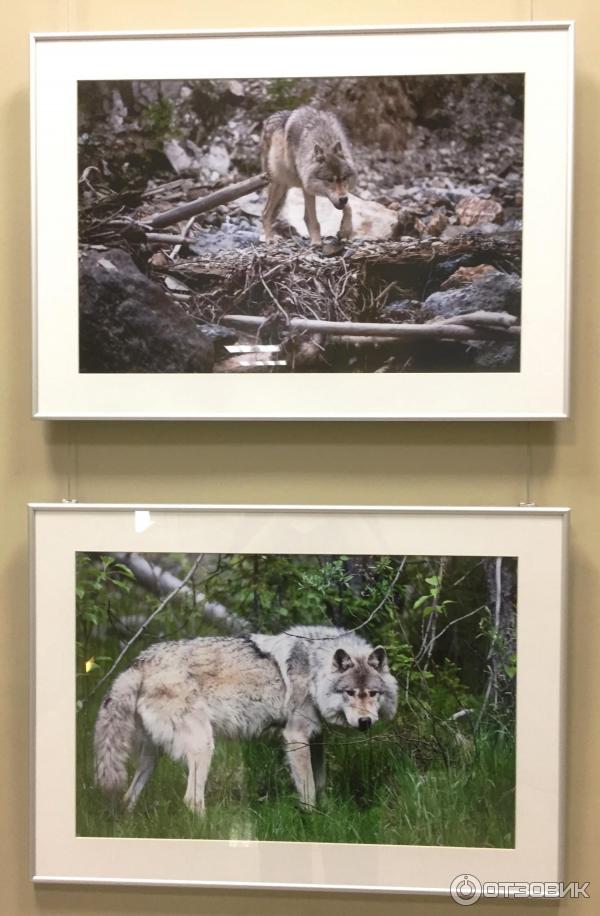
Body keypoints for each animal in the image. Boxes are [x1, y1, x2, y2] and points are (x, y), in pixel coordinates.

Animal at [94, 628, 398, 812]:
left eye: (373, 693)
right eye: (350, 693)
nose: (365, 722)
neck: (314, 671)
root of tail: (140, 662)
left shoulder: (315, 737)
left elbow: (319, 783)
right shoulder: (296, 737)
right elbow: (308, 789)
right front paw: (312, 821)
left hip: (152, 757)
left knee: (129, 796)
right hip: (203, 747)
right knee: (192, 800)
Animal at [262, 106, 356, 247]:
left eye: (344, 178)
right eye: (329, 180)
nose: (343, 199)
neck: (325, 138)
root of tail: (268, 119)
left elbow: (349, 208)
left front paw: (346, 231)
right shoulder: (306, 186)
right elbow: (313, 219)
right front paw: (316, 241)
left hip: (285, 187)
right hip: (278, 184)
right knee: (265, 213)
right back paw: (269, 238)